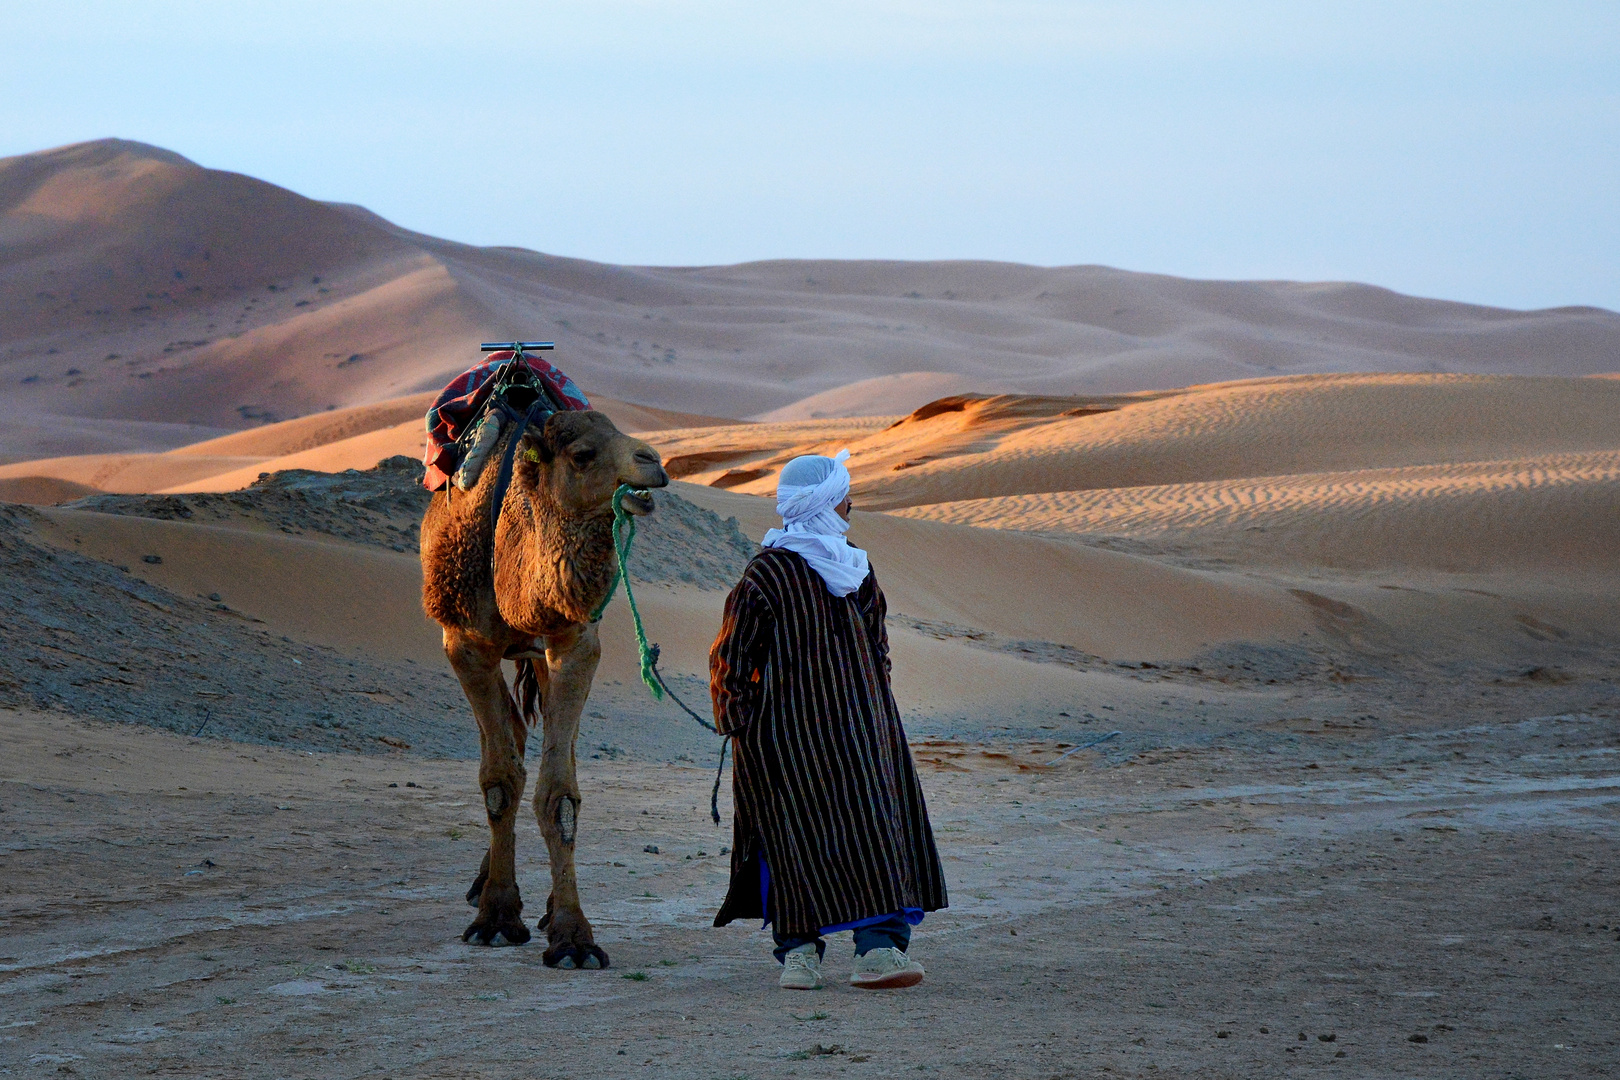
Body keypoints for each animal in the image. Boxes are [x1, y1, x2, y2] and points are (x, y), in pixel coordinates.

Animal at [424, 409, 670, 965]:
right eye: (583, 454)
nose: (655, 463)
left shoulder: (573, 640)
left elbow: (559, 793)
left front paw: (572, 935)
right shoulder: (464, 644)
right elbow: (499, 780)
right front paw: (495, 917)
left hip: (540, 657)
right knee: (509, 740)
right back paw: (488, 886)